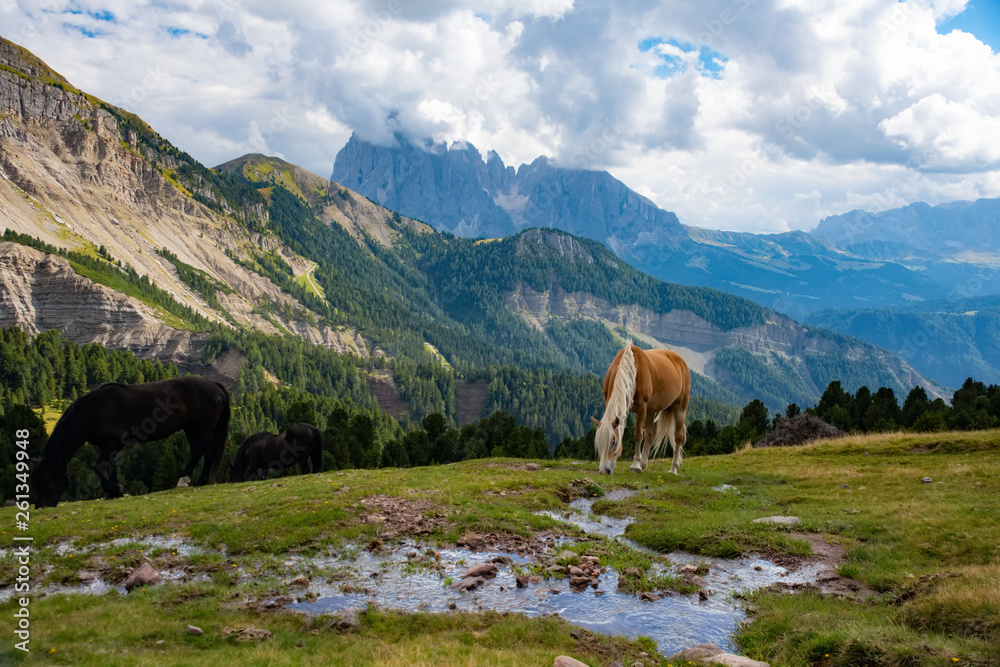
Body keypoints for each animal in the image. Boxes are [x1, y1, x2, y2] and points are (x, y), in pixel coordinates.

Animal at [32, 378, 231, 508]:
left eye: (45, 480)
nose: (40, 507)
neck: (93, 410)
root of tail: (214, 385)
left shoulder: (114, 443)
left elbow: (98, 466)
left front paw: (116, 489)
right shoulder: (107, 446)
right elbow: (110, 466)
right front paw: (114, 493)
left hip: (201, 426)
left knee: (202, 450)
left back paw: (189, 481)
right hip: (192, 427)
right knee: (203, 451)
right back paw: (199, 481)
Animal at [592, 344, 688, 474]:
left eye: (614, 443)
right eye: (599, 444)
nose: (603, 470)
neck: (632, 370)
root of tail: (681, 361)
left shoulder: (642, 408)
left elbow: (638, 435)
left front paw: (635, 465)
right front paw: (639, 464)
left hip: (679, 408)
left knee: (678, 436)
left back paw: (673, 469)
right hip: (651, 410)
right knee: (650, 433)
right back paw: (644, 463)